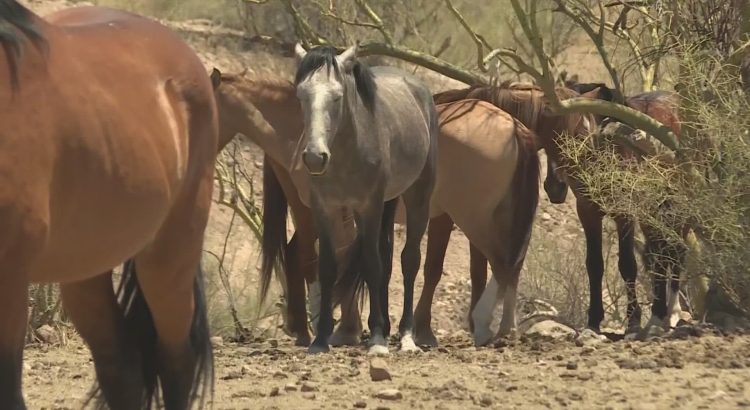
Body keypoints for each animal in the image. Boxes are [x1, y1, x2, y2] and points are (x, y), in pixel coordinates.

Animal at [292, 43, 438, 354]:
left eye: (337, 97)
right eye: (301, 95)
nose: (314, 157)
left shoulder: (368, 206)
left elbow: (372, 262)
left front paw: (378, 338)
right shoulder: (325, 208)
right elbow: (328, 266)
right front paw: (321, 338)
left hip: (418, 197)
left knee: (409, 260)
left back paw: (406, 335)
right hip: (388, 202)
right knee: (388, 255)